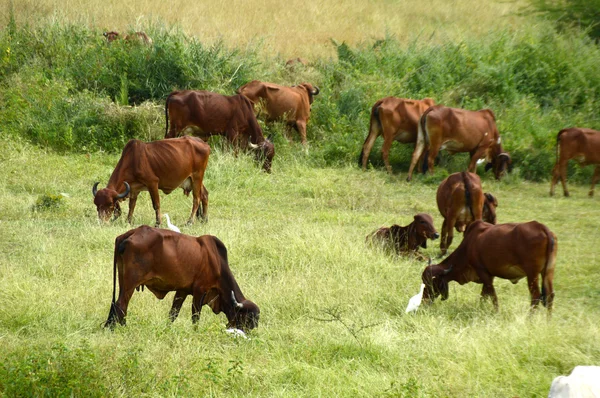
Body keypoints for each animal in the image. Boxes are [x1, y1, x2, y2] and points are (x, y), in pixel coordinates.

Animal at [422, 219, 556, 312]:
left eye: (431, 283)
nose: (424, 301)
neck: (469, 245)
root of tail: (542, 227)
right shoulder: (489, 276)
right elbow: (484, 296)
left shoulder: (483, 273)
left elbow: (493, 297)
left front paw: (496, 313)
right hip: (548, 272)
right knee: (550, 296)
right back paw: (547, 322)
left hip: (532, 274)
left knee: (535, 296)